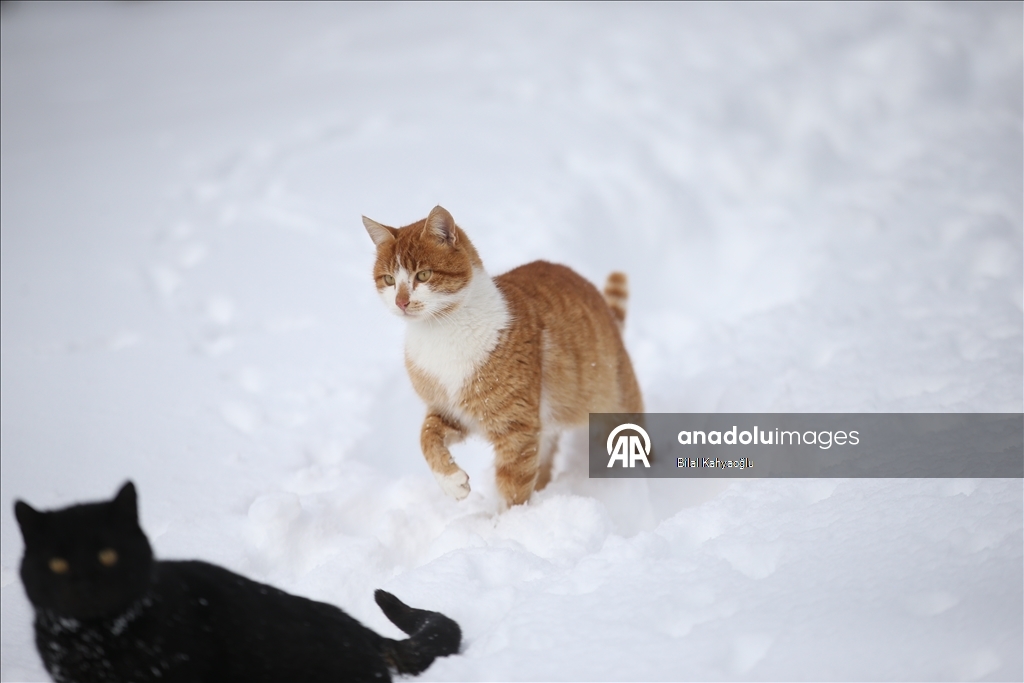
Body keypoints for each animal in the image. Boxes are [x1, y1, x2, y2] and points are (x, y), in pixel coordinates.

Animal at [363, 205, 643, 507]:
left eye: (423, 275)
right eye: (389, 280)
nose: (401, 302)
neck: (439, 333)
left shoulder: (516, 428)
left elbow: (513, 487)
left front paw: (510, 518)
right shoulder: (450, 412)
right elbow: (426, 438)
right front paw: (452, 482)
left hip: (617, 406)